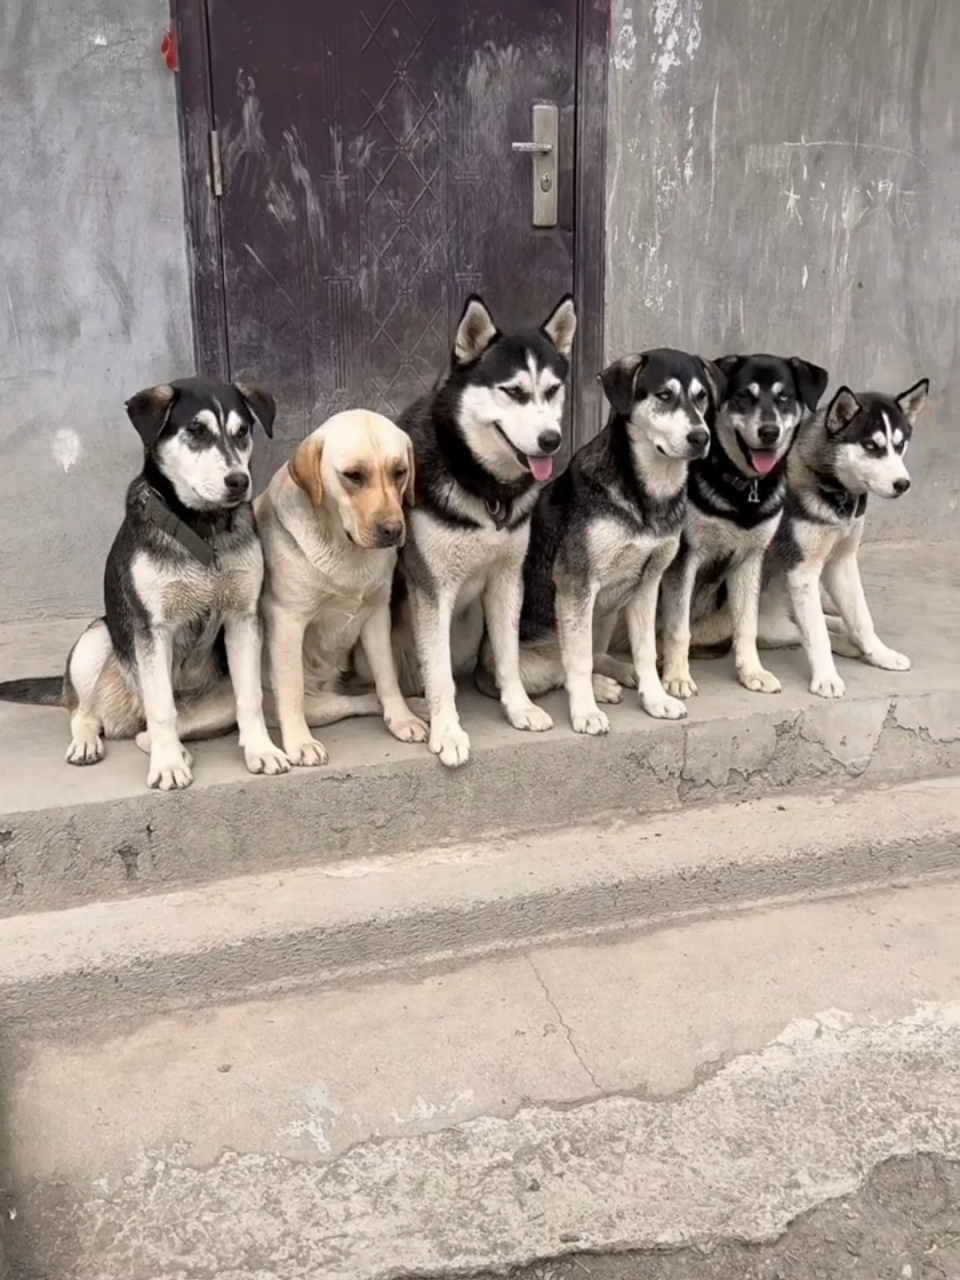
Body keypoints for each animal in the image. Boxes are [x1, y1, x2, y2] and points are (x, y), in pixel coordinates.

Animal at [0, 373, 289, 783]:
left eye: (243, 431)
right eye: (196, 431)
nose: (239, 481)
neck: (201, 529)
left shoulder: (243, 619)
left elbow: (250, 698)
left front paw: (262, 751)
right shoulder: (153, 629)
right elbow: (161, 707)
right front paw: (167, 765)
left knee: (155, 727)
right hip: (95, 639)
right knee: (83, 711)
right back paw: (90, 743)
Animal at [391, 294, 578, 762]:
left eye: (552, 390)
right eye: (513, 391)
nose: (551, 440)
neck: (484, 485)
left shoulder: (507, 580)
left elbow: (507, 655)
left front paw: (520, 708)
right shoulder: (431, 589)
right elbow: (438, 671)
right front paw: (448, 731)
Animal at [481, 348, 721, 732]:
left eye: (701, 397)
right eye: (664, 395)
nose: (701, 437)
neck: (648, 493)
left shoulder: (648, 582)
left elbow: (644, 650)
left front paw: (655, 699)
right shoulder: (575, 582)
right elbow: (577, 662)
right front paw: (586, 713)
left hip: (610, 607)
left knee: (598, 653)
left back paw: (621, 672)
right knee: (561, 667)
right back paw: (600, 687)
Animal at [660, 353, 829, 701]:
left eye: (784, 397)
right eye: (742, 396)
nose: (769, 431)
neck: (743, 486)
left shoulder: (750, 559)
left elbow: (747, 625)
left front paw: (752, 672)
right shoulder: (684, 558)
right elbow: (678, 627)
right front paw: (678, 676)